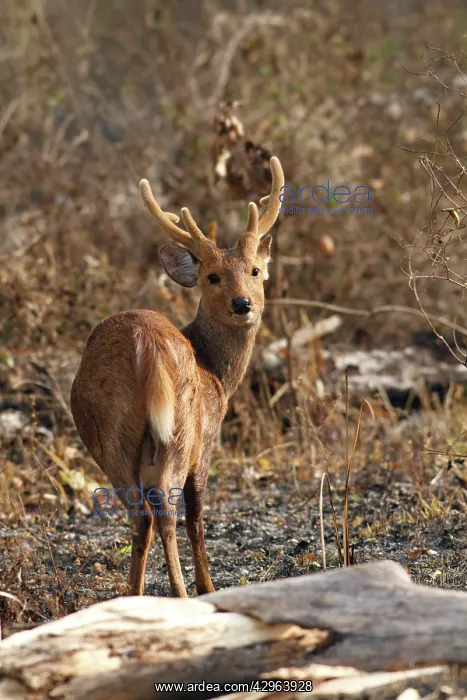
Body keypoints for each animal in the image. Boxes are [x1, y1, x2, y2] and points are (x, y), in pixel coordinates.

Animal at [70, 156, 284, 597]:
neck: (215, 371)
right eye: (212, 276)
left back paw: (134, 594)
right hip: (181, 432)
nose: (243, 304)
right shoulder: (207, 442)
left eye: (255, 270)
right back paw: (182, 593)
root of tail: (145, 341)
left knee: (140, 517)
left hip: (111, 435)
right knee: (168, 515)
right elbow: (197, 516)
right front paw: (207, 585)